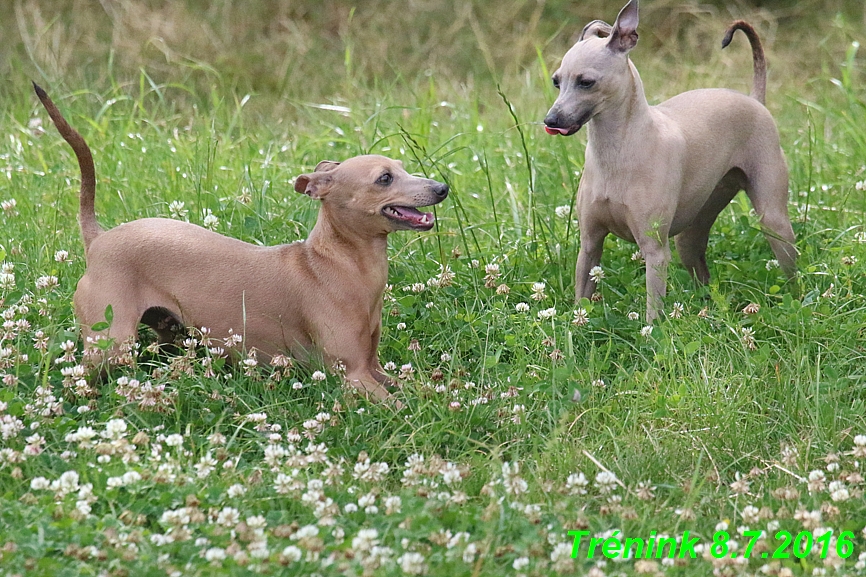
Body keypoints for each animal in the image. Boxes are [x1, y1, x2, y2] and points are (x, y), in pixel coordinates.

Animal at [33, 83, 446, 402]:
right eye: (384, 178)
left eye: (404, 167)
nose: (442, 187)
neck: (337, 264)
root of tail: (99, 239)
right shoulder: (353, 375)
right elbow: (402, 407)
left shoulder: (373, 367)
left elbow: (420, 389)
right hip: (109, 345)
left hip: (168, 333)